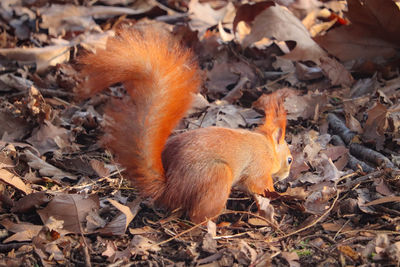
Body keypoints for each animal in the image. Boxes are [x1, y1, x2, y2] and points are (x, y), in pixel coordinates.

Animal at [78, 26, 292, 224]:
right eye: (290, 160)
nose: (287, 175)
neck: (268, 146)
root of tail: (170, 190)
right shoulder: (259, 168)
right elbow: (260, 185)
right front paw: (280, 193)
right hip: (217, 175)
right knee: (198, 216)